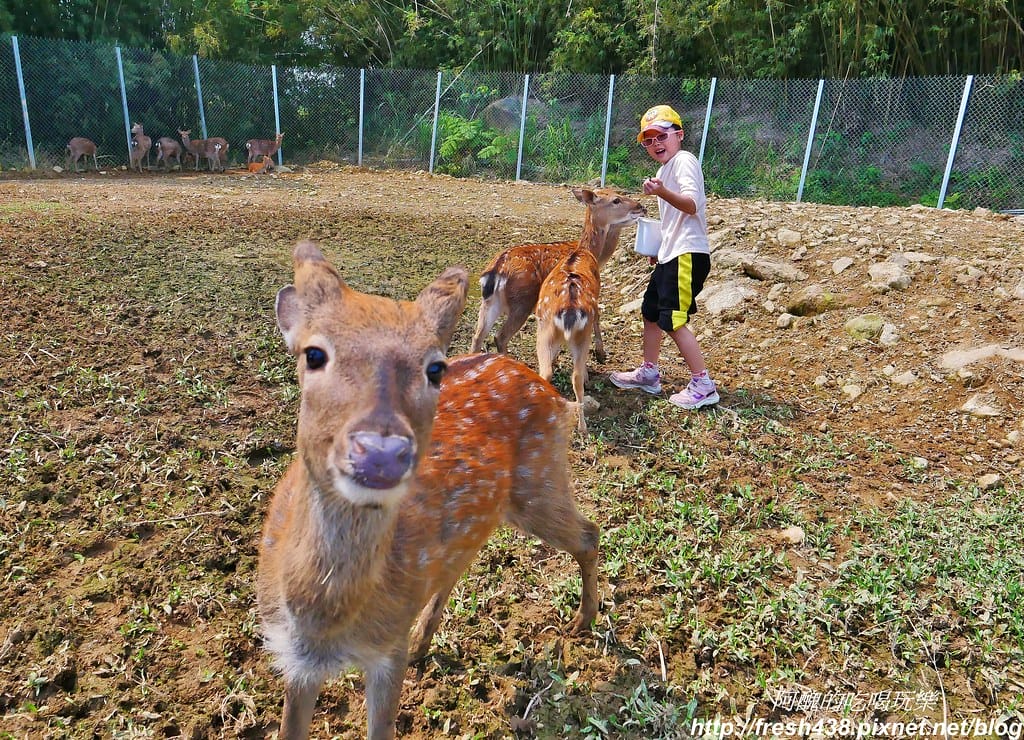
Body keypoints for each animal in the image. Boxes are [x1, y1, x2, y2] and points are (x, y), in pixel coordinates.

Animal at [470, 187, 645, 361]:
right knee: (500, 337)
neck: (592, 253)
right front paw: (600, 353)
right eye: (616, 200)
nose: (641, 207)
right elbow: (596, 316)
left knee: (477, 336)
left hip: (490, 302)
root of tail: (495, 270)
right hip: (522, 301)